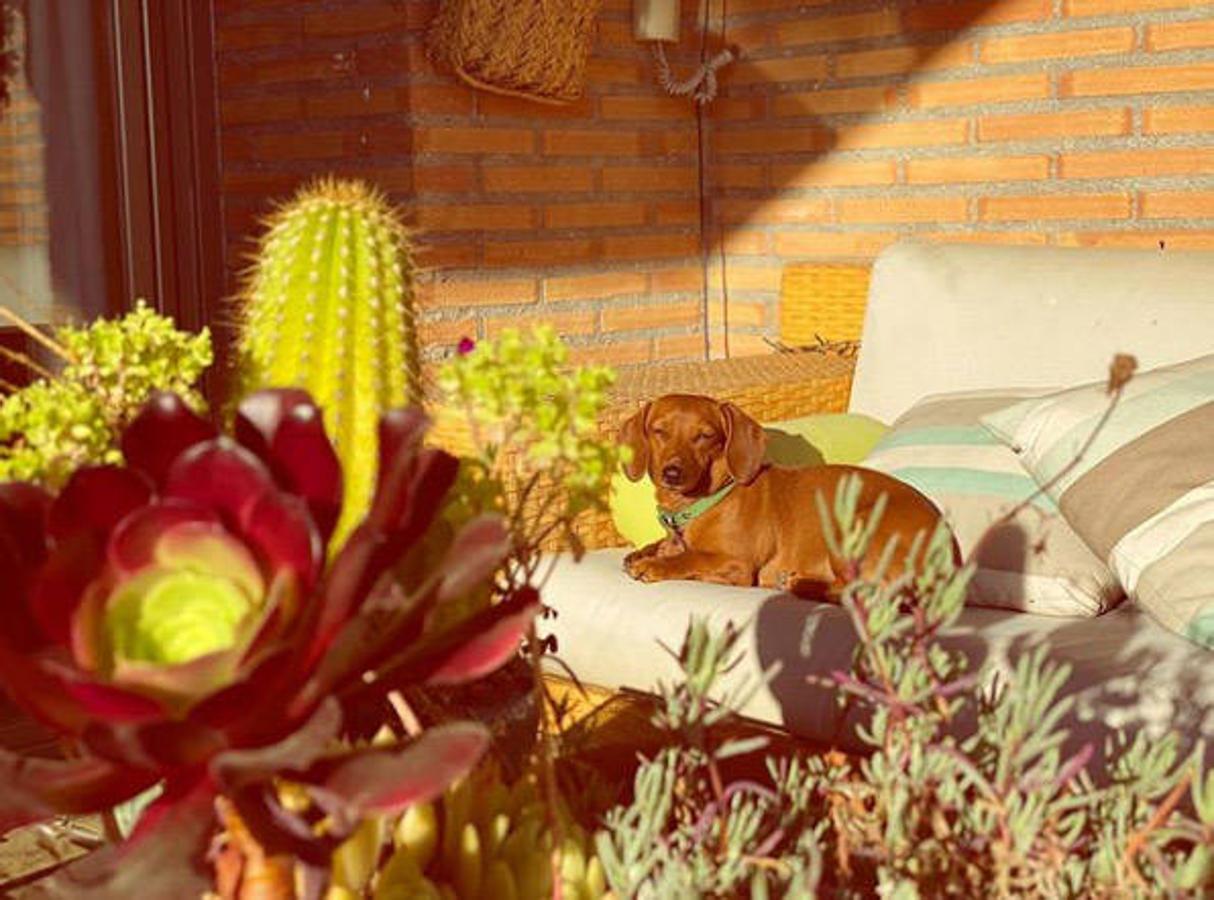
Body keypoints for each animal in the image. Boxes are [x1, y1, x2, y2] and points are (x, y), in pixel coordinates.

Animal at [621, 393, 951, 597]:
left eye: (704, 436)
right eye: (659, 431)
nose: (672, 473)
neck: (706, 501)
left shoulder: (737, 566)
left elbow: (691, 559)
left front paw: (654, 564)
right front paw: (647, 552)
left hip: (848, 528)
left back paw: (798, 584)